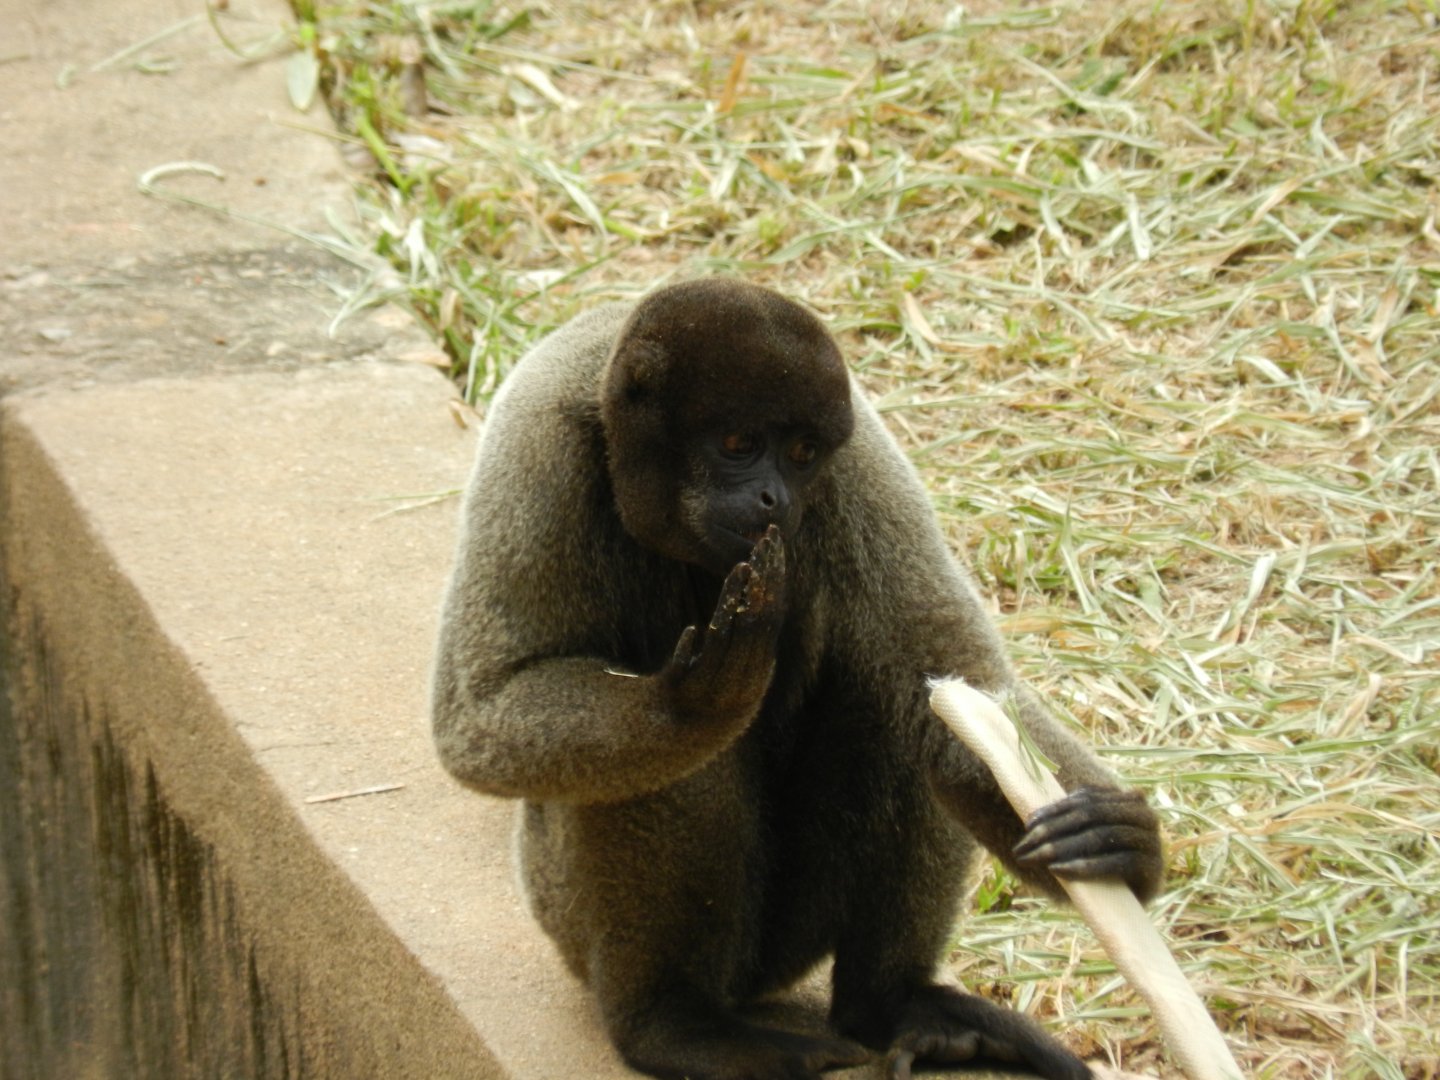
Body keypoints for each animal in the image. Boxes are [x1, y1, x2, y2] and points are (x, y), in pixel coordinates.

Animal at [430, 278, 1163, 1080]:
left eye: (802, 453)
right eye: (737, 445)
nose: (774, 498)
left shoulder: (859, 459)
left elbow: (953, 675)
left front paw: (1122, 846)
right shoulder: (537, 441)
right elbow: (477, 717)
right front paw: (689, 704)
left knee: (900, 714)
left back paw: (887, 1005)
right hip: (564, 912)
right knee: (673, 764)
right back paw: (671, 1024)